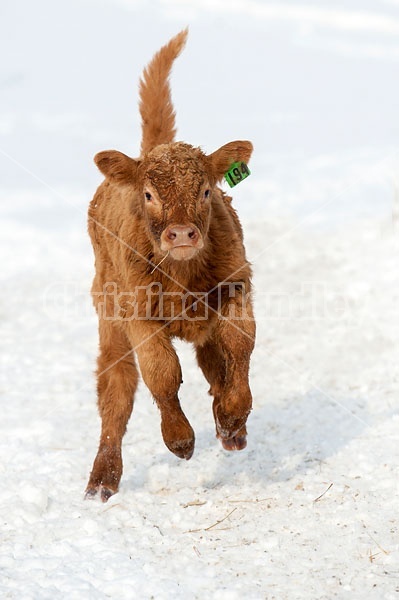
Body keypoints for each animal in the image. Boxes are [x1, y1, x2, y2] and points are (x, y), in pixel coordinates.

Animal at [86, 29, 258, 502]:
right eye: (148, 194)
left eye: (206, 191)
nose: (181, 235)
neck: (183, 278)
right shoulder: (138, 313)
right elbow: (161, 373)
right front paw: (180, 440)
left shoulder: (237, 286)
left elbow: (239, 346)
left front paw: (233, 417)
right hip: (109, 315)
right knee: (117, 388)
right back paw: (102, 481)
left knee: (212, 361)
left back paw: (231, 430)